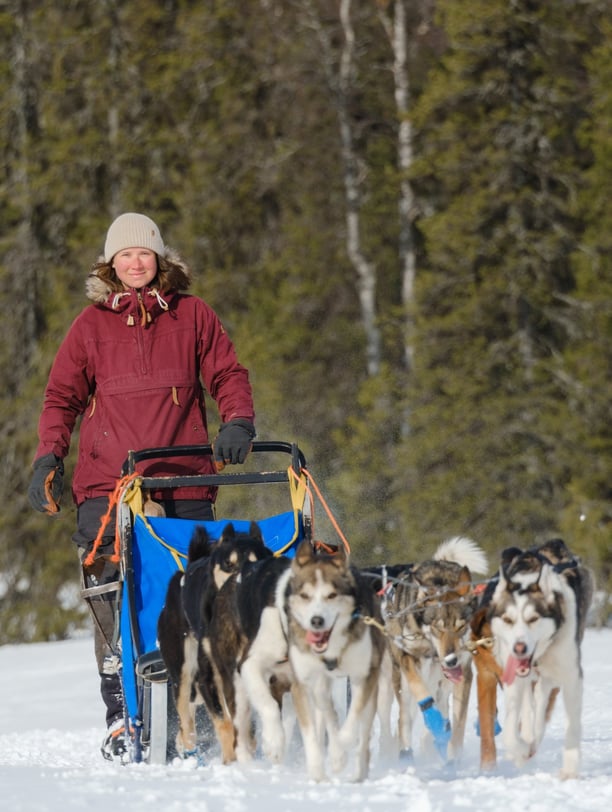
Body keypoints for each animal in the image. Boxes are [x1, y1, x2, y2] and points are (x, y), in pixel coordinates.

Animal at [382, 536, 488, 764]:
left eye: (460, 627)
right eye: (437, 627)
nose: (450, 660)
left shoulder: (463, 674)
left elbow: (458, 722)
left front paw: (453, 756)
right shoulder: (408, 659)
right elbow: (421, 693)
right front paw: (435, 723)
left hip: (442, 684)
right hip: (400, 681)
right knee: (405, 717)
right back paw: (407, 754)